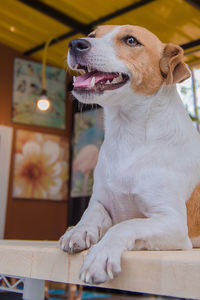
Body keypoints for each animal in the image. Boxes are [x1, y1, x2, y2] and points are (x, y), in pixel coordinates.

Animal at [59, 25, 200, 284]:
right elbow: (91, 212)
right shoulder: (102, 201)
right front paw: (78, 230)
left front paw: (100, 255)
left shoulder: (173, 223)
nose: (75, 44)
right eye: (92, 35)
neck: (127, 136)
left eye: (131, 40)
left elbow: (127, 225)